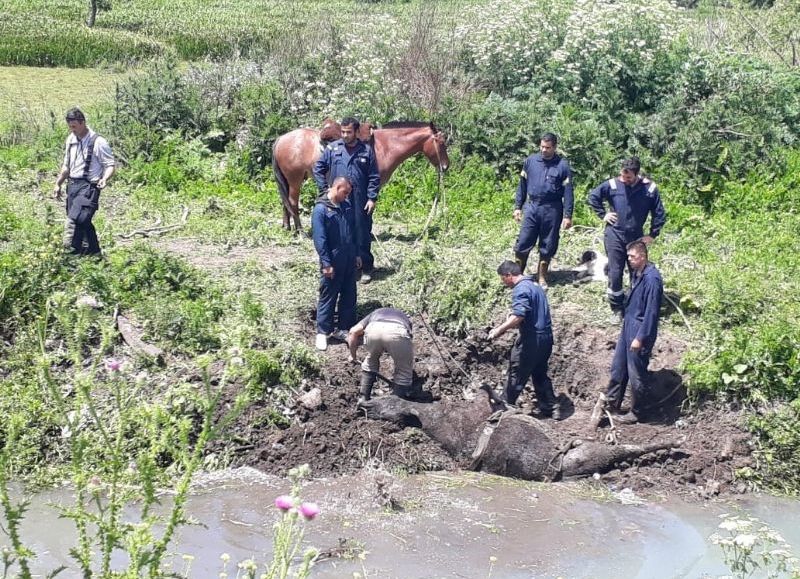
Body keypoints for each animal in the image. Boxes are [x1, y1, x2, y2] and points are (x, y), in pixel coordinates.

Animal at [274, 122, 450, 231]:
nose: (446, 166)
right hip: (295, 180)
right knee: (292, 202)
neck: (385, 147)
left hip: (289, 180)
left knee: (285, 202)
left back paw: (287, 227)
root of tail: (281, 139)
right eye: (441, 143)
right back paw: (300, 231)